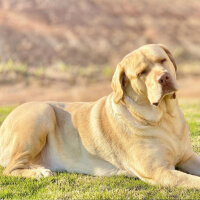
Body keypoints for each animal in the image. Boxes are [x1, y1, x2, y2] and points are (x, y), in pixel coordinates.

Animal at [0, 44, 200, 189]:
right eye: (141, 73)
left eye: (162, 60)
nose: (164, 77)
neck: (165, 118)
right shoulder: (159, 171)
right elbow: (192, 181)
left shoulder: (188, 157)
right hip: (41, 113)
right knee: (10, 168)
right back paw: (39, 173)